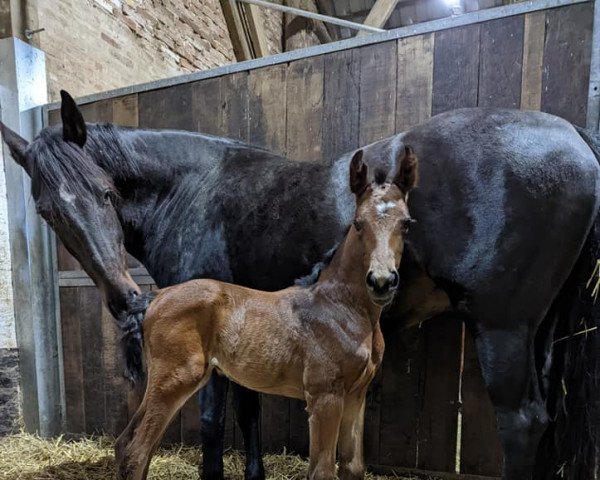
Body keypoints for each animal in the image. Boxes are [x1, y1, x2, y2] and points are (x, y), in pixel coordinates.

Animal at [116, 148, 418, 478]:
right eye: (358, 223)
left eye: (405, 223)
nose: (381, 281)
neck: (342, 307)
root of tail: (156, 296)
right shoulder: (325, 397)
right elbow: (322, 471)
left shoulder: (356, 395)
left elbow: (353, 467)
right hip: (176, 379)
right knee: (136, 451)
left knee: (127, 443)